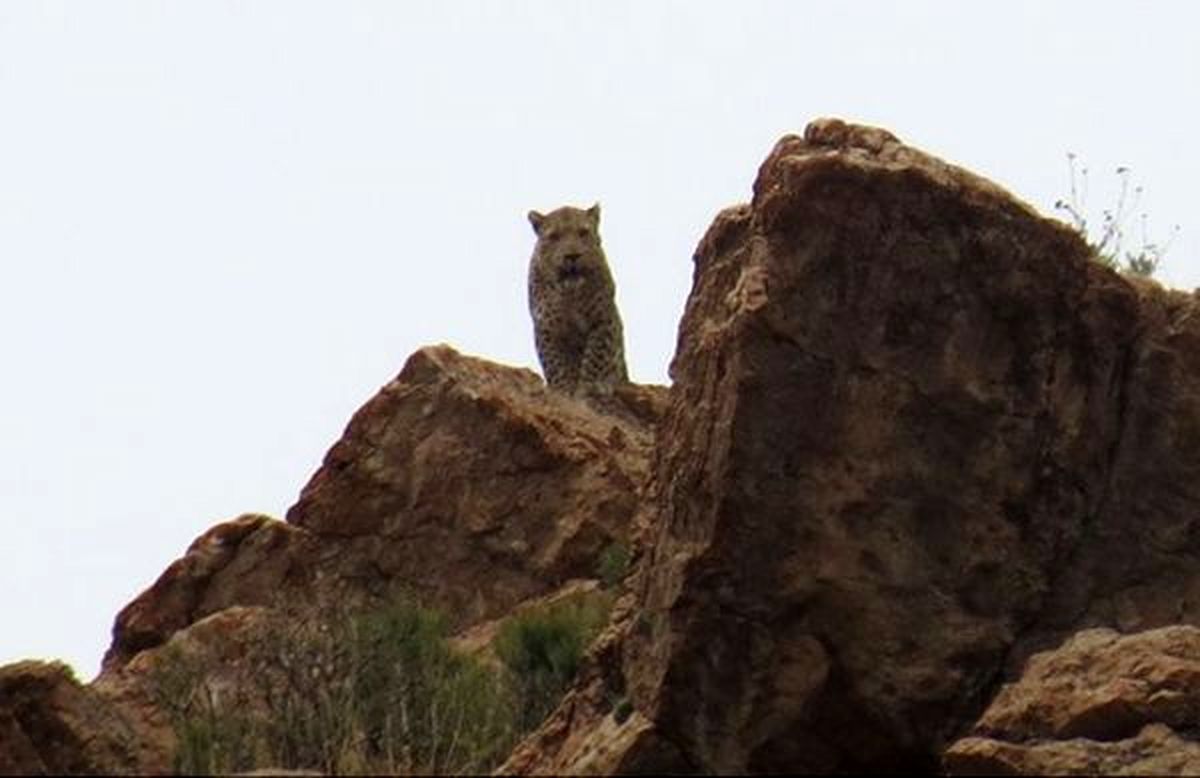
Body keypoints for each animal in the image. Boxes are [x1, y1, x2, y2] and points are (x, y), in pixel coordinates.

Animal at [530, 204, 633, 391]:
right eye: (554, 236)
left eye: (583, 232)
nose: (572, 256)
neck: (570, 295)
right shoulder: (546, 329)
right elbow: (556, 364)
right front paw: (564, 389)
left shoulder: (602, 322)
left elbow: (594, 359)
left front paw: (586, 387)